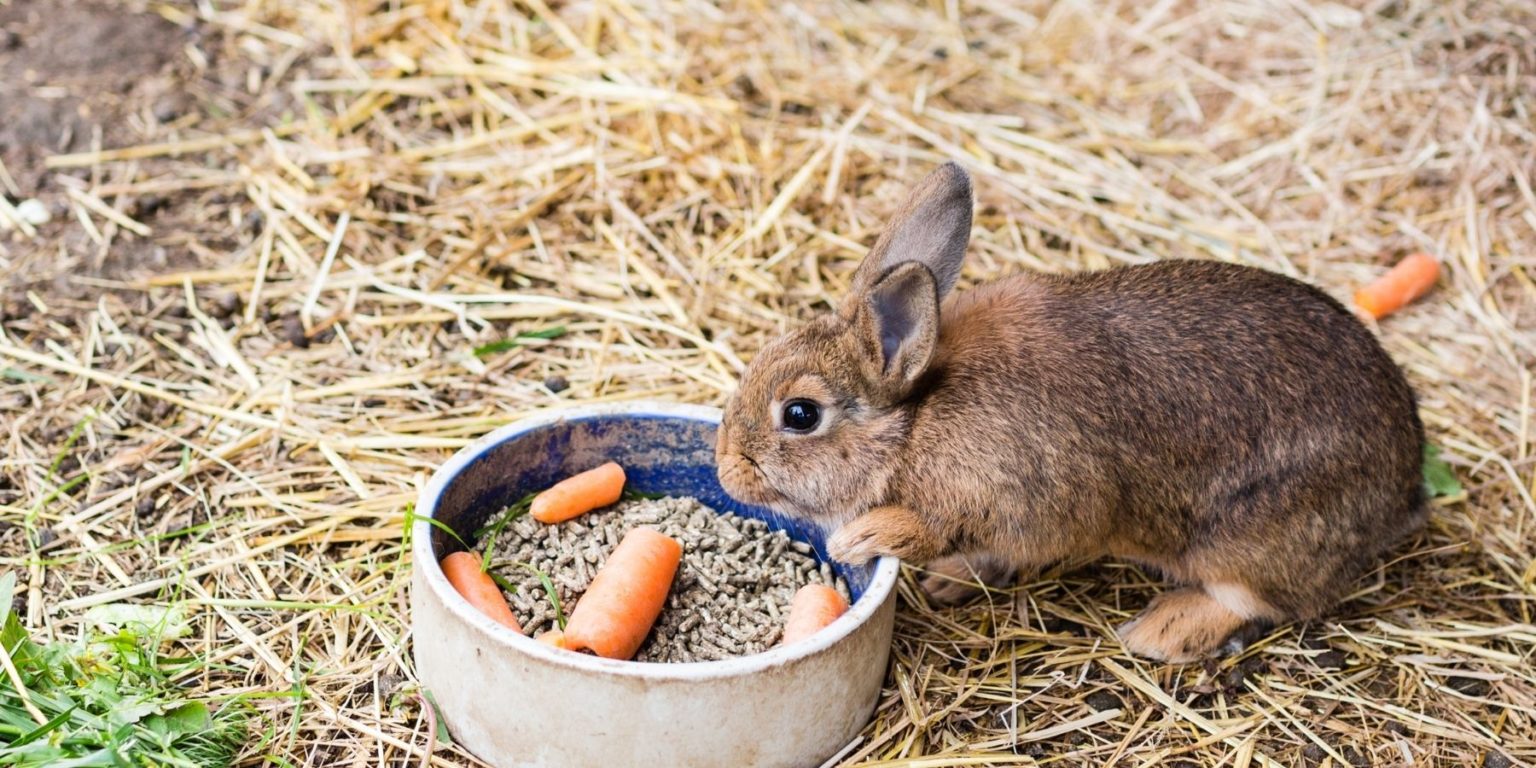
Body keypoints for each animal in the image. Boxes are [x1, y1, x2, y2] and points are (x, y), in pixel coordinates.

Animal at [715, 160, 1425, 660]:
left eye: (800, 414)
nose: (726, 469)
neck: (916, 421)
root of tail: (1406, 487)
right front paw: (948, 578)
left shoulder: (1021, 497)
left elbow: (936, 526)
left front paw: (863, 537)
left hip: (1250, 539)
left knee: (1260, 599)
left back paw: (1160, 631)